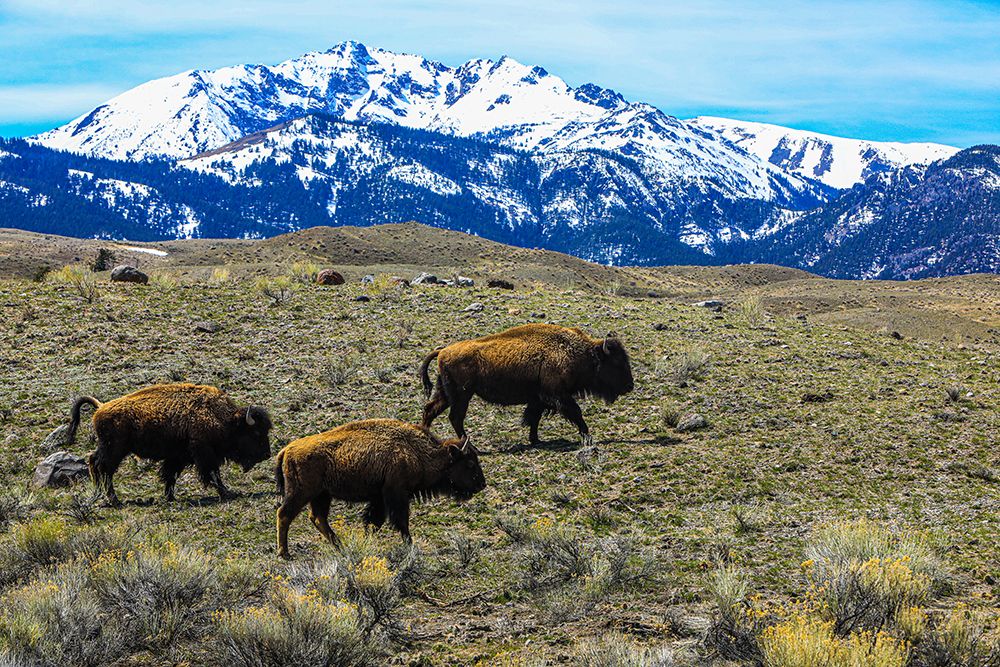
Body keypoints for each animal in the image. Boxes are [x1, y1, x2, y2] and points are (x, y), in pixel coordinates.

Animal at [66, 383, 272, 506]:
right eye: (255, 432)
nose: (267, 454)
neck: (223, 419)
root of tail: (101, 407)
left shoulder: (178, 457)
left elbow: (170, 475)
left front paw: (170, 497)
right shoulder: (204, 453)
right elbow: (213, 474)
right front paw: (226, 493)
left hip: (108, 448)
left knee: (94, 462)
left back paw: (100, 494)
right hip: (115, 450)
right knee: (104, 468)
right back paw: (114, 500)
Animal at [274, 418, 485, 559]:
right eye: (469, 463)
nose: (482, 484)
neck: (416, 451)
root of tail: (287, 450)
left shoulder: (379, 498)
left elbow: (374, 522)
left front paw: (367, 541)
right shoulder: (396, 494)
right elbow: (401, 521)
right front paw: (410, 545)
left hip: (321, 495)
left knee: (318, 518)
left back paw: (339, 546)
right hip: (302, 493)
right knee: (284, 514)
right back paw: (285, 553)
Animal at [420, 323, 633, 447]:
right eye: (617, 362)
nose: (629, 386)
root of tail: (443, 351)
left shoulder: (539, 399)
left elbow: (534, 418)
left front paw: (535, 439)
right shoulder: (558, 395)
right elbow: (576, 413)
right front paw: (587, 435)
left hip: (446, 393)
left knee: (430, 410)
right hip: (462, 395)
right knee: (455, 417)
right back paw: (469, 445)